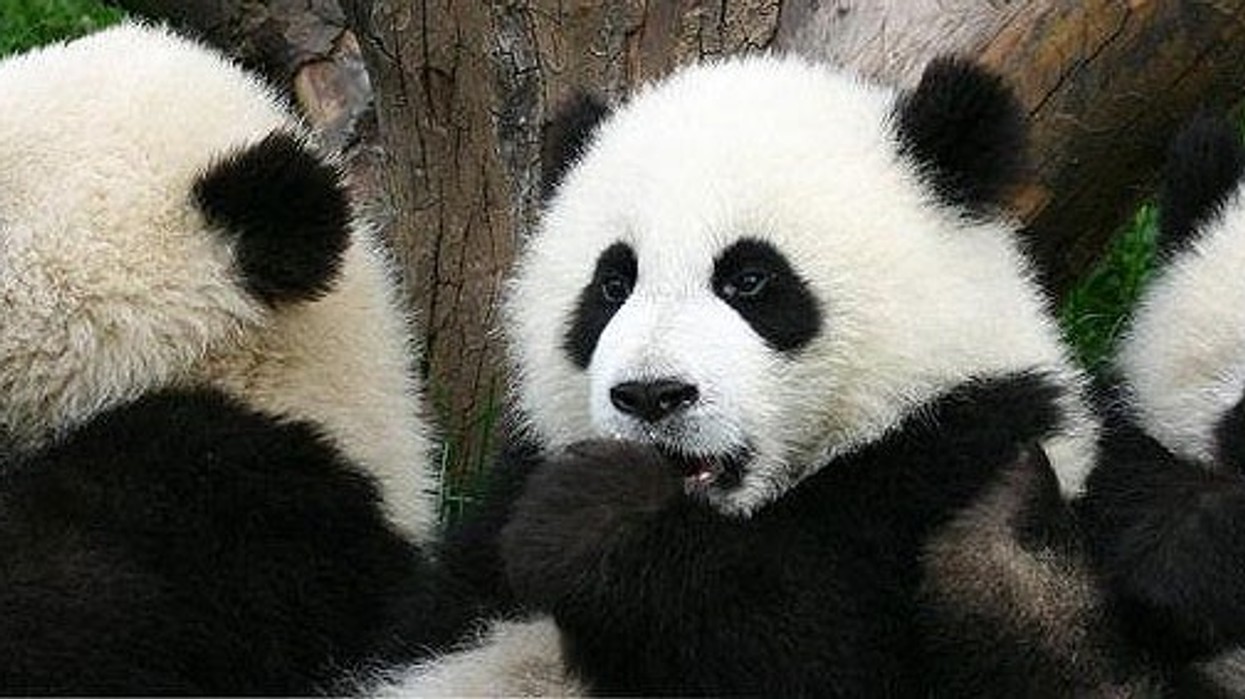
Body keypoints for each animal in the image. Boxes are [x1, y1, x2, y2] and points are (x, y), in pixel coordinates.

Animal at [383, 54, 1156, 696]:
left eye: (750, 280)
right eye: (612, 284)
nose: (652, 395)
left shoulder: (962, 462)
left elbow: (815, 653)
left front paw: (602, 517)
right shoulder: (481, 548)